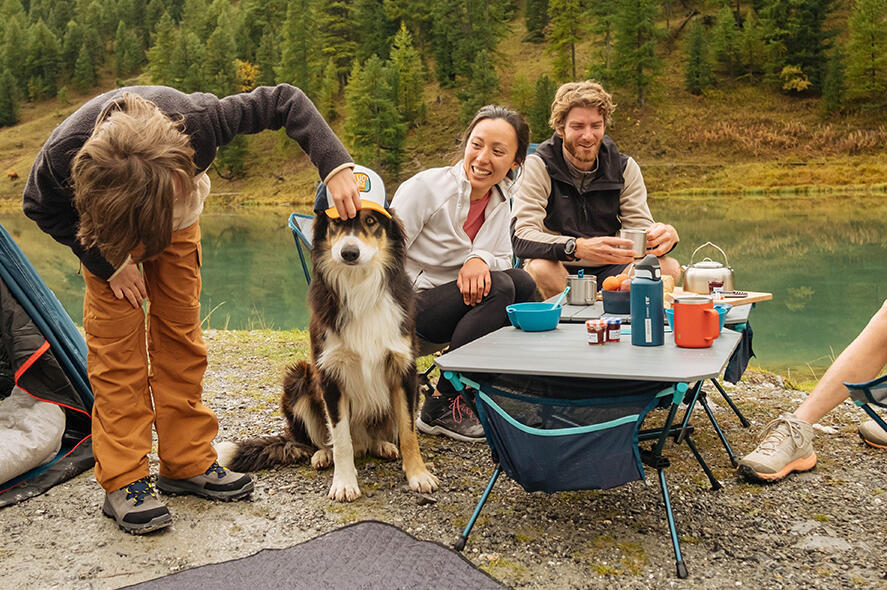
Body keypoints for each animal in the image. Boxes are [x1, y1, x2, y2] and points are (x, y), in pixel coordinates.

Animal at [216, 194, 438, 504]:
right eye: (337, 221)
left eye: (371, 221)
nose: (349, 253)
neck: (359, 287)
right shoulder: (331, 374)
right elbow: (341, 438)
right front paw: (344, 483)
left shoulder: (404, 369)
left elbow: (408, 432)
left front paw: (418, 474)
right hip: (299, 377)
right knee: (319, 441)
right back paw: (322, 455)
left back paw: (382, 445)